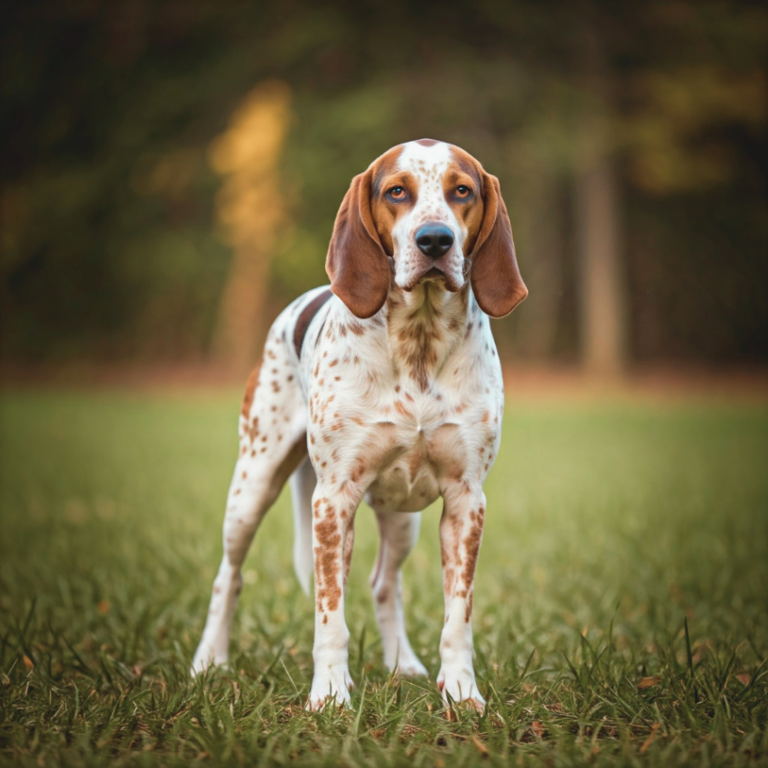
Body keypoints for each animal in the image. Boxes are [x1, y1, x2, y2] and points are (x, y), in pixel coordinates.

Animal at [192, 140, 528, 712]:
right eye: (396, 192)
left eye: (462, 190)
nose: (434, 239)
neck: (418, 342)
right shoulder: (333, 499)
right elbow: (330, 615)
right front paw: (329, 694)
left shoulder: (466, 501)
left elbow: (456, 617)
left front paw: (462, 692)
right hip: (251, 490)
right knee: (227, 577)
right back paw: (208, 662)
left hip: (403, 518)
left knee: (383, 584)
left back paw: (403, 664)